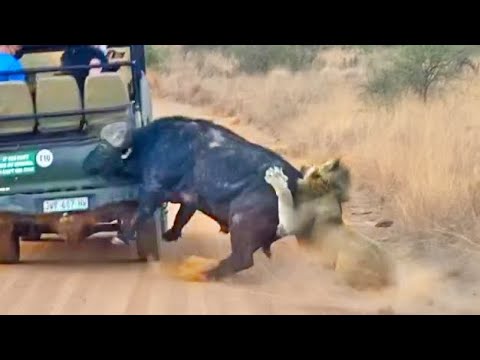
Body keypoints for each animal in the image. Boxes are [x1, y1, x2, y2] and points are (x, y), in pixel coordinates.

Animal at [82, 116, 300, 280]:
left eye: (103, 149)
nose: (86, 164)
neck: (152, 144)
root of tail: (295, 181)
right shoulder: (190, 200)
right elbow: (181, 218)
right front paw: (170, 234)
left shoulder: (153, 189)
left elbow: (140, 212)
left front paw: (121, 236)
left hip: (242, 222)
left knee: (242, 259)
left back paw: (208, 273)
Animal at [264, 159, 396, 292]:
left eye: (316, 166)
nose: (304, 165)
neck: (327, 190)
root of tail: (388, 279)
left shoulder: (290, 225)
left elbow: (285, 195)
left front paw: (276, 177)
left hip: (345, 263)